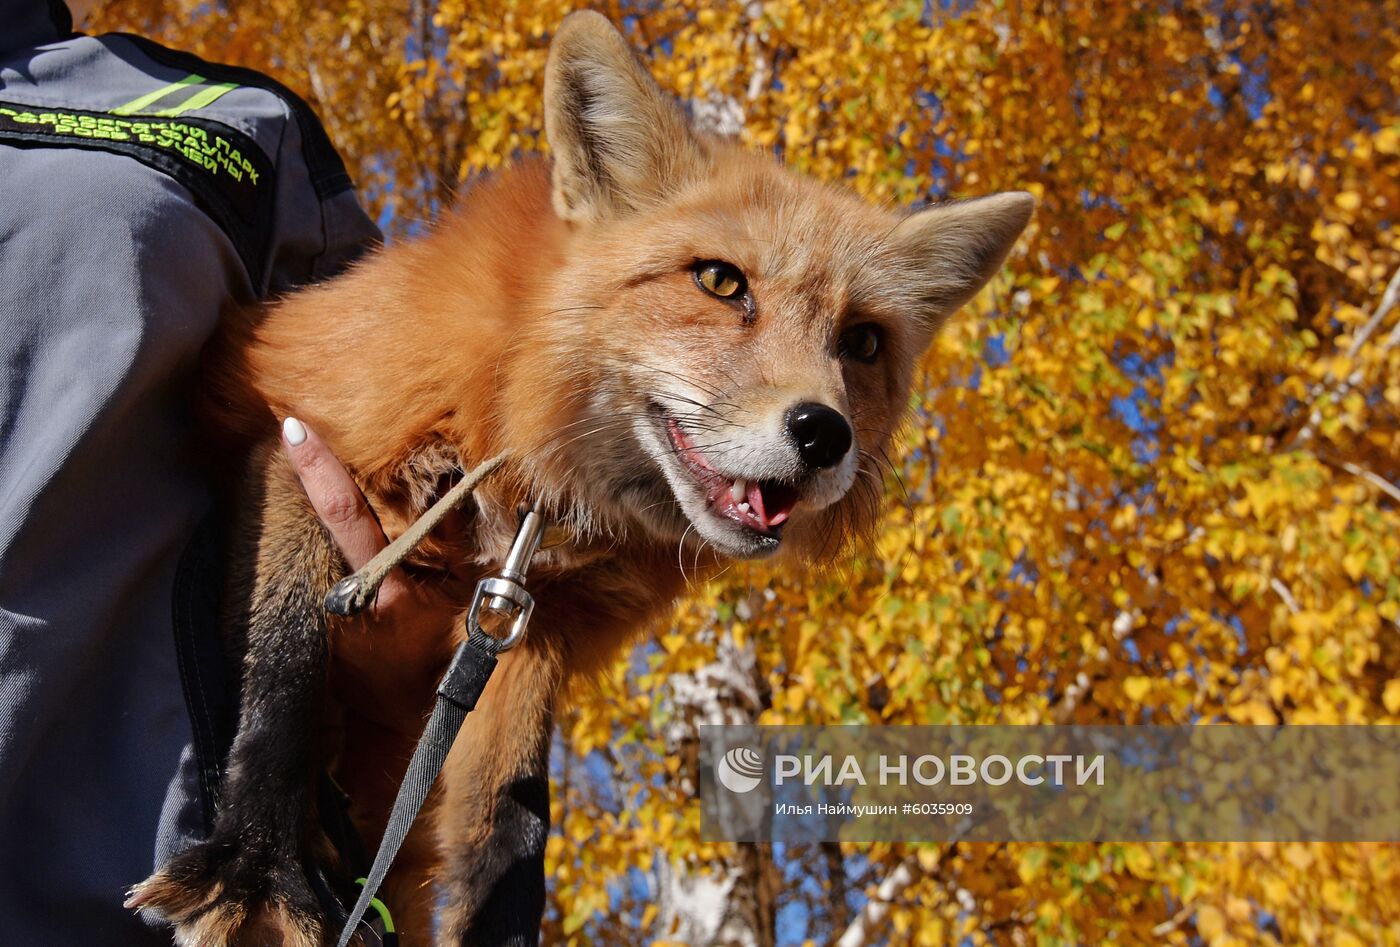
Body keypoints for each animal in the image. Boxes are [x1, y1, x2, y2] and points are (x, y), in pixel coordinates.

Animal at [131, 9, 1030, 947]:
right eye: (720, 281)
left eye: (862, 342)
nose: (824, 433)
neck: (529, 474)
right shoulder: (300, 438)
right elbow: (284, 670)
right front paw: (254, 869)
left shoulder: (529, 618)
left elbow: (514, 818)